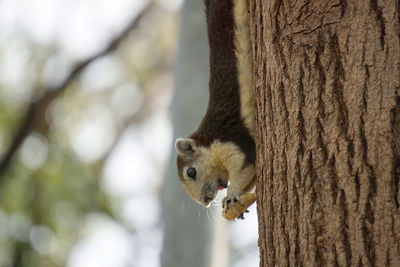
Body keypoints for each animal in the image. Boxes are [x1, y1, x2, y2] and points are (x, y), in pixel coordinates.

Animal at [173, 0, 255, 216]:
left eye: (191, 172)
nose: (206, 201)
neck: (209, 142)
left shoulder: (230, 142)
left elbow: (245, 168)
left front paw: (232, 195)